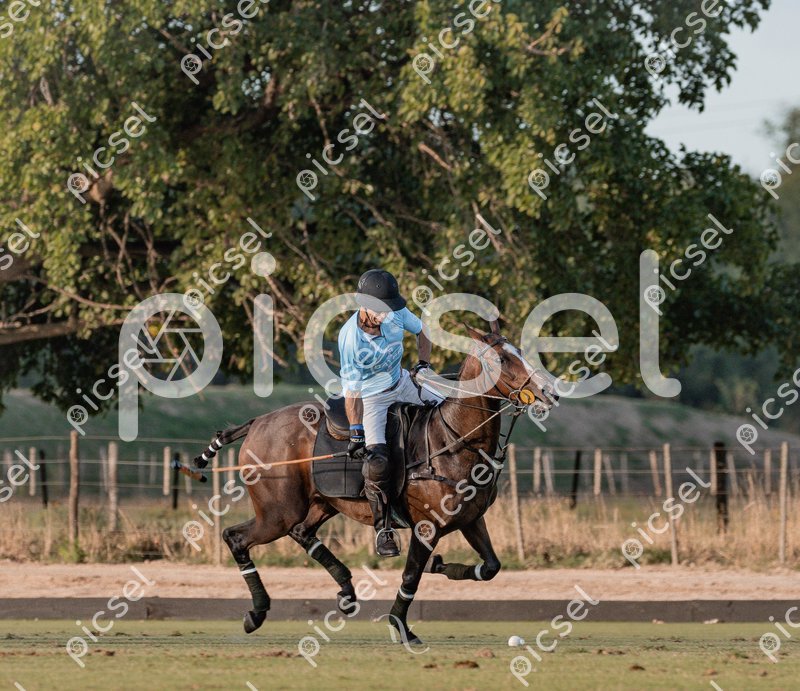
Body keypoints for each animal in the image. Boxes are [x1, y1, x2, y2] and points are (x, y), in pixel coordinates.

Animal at [193, 322, 555, 644]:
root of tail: (256, 423)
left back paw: (346, 590)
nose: (548, 392)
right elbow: (410, 576)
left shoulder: (471, 519)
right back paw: (257, 612)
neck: (453, 439)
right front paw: (402, 627)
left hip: (322, 502)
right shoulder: (427, 526)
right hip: (277, 511)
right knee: (236, 537)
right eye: (503, 359)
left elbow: (491, 566)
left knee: (302, 533)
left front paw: (439, 565)